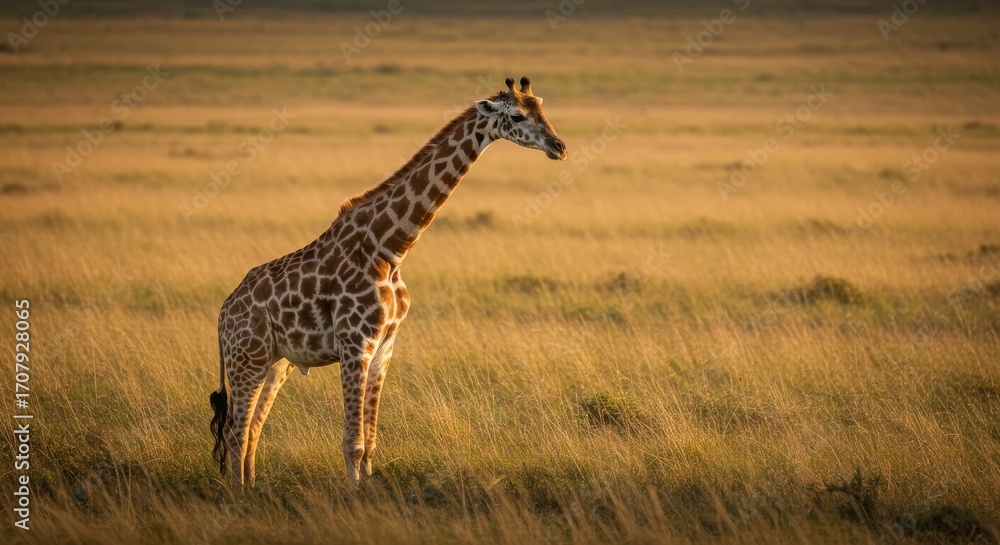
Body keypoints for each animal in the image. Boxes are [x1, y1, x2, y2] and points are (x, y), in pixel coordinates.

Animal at [209, 76, 567, 490]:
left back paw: (252, 488)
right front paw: (353, 496)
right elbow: (353, 441)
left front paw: (367, 488)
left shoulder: (385, 347)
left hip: (274, 362)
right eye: (516, 115)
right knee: (235, 430)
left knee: (253, 426)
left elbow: (371, 440)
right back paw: (239, 494)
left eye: (540, 106)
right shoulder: (355, 345)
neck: (391, 249)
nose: (559, 147)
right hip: (246, 358)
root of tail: (223, 314)